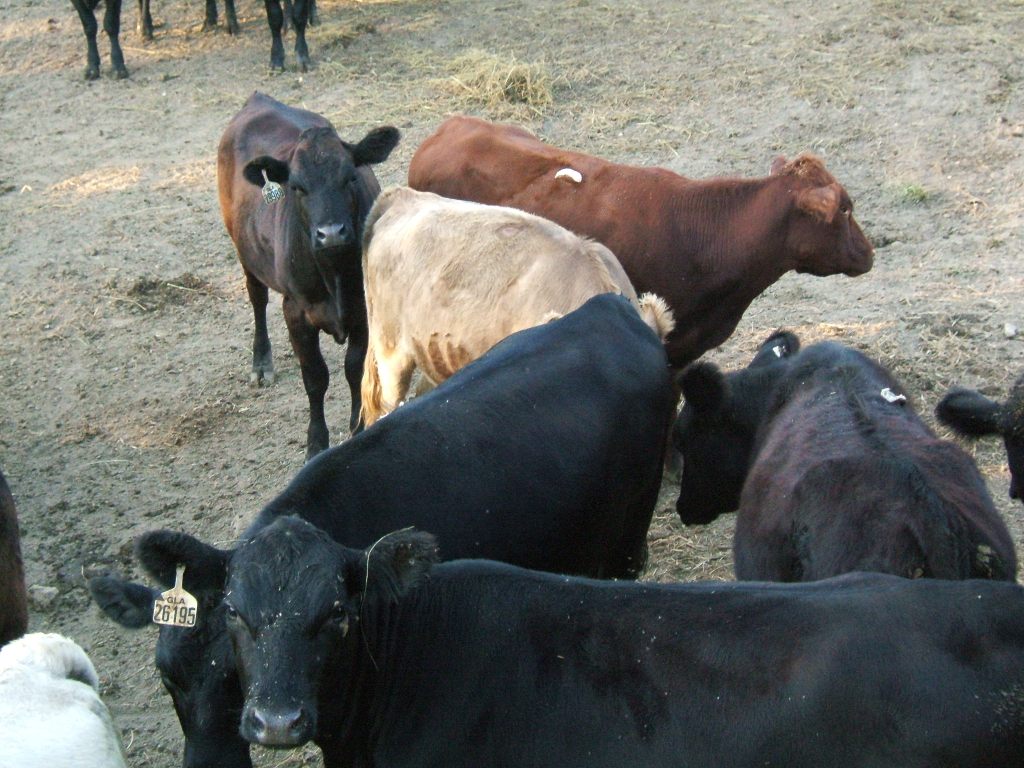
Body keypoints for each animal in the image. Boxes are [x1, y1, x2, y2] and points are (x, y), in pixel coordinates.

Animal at [217, 92, 399, 459]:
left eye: (350, 177)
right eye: (298, 187)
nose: (330, 233)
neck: (334, 273)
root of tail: (259, 99)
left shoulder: (362, 309)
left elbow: (353, 368)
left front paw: (357, 426)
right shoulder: (297, 311)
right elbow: (315, 377)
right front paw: (316, 443)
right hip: (244, 252)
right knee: (256, 298)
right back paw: (261, 362)